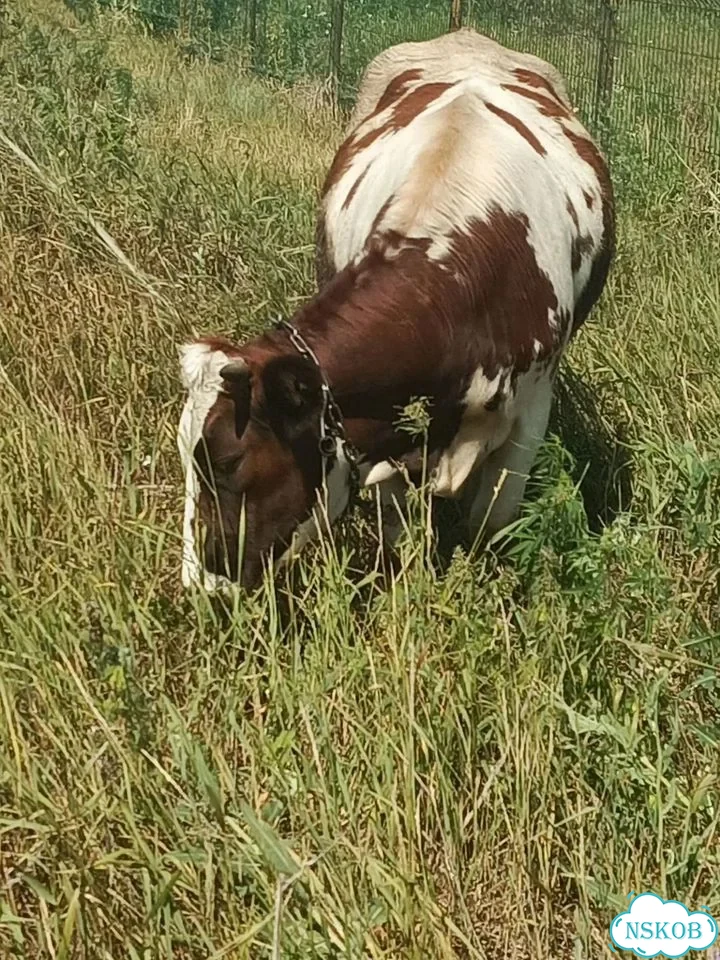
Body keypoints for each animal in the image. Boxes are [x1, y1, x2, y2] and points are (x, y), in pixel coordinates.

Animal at [176, 27, 615, 592]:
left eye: (228, 462)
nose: (199, 584)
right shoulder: (385, 432)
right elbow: (396, 531)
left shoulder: (532, 410)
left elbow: (490, 522)